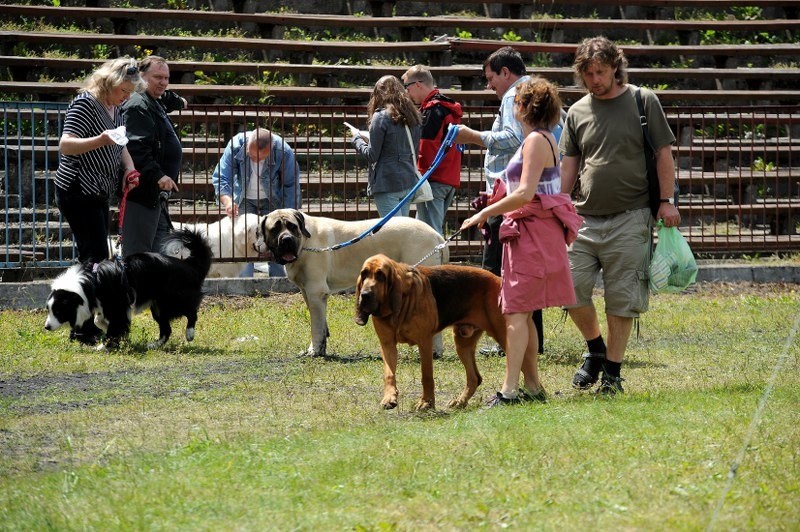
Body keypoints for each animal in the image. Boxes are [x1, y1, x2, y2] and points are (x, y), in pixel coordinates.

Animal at [255, 209, 444, 358]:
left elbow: (316, 325)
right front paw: (320, 348)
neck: (305, 242)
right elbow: (321, 323)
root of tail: (436, 235)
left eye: (292, 226)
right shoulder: (307, 292)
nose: (287, 239)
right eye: (275, 229)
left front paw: (314, 351)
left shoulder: (315, 291)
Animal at [356, 254, 506, 412]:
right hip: (462, 343)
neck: (404, 301)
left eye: (381, 276)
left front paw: (426, 402)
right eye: (364, 274)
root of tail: (498, 279)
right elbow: (389, 374)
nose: (365, 295)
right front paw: (389, 398)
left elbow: (426, 375)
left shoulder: (424, 343)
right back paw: (460, 401)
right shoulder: (387, 345)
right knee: (474, 378)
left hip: (503, 336)